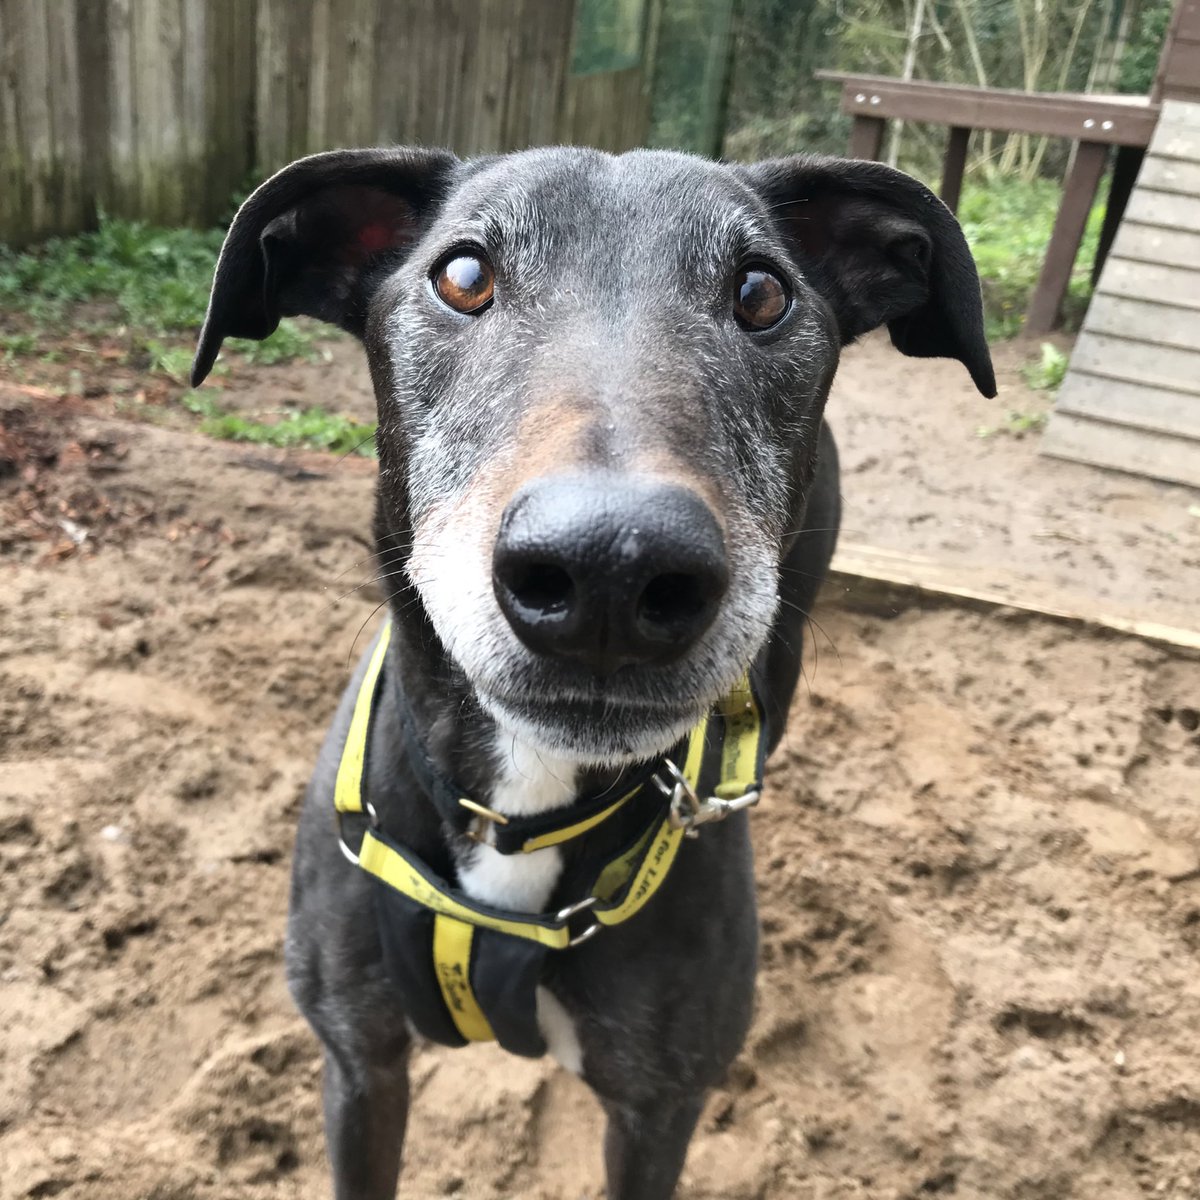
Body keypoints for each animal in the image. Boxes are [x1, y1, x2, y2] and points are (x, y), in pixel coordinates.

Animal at [189, 147, 993, 1200]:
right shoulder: (359, 1064)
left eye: (761, 292)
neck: (517, 811)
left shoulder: (658, 1111)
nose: (611, 568)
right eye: (463, 275)